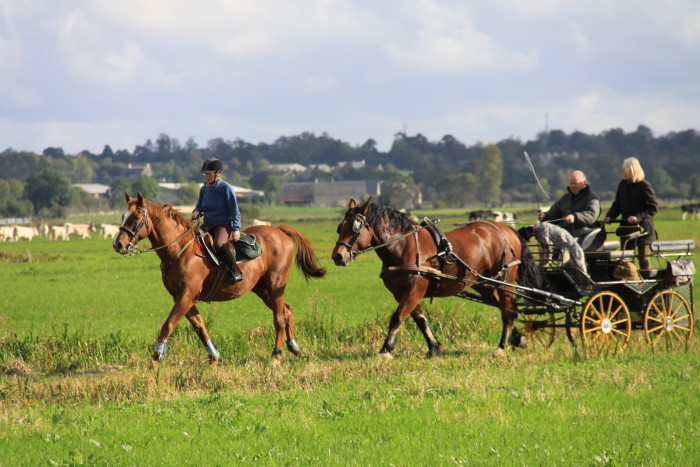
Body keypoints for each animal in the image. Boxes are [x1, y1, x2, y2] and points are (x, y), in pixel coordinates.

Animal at [113, 193, 326, 366]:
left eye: (136, 217)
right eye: (123, 216)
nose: (118, 244)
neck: (179, 250)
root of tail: (279, 231)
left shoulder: (185, 297)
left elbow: (168, 325)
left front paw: (155, 359)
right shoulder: (183, 298)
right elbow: (199, 326)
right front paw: (214, 356)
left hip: (275, 286)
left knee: (279, 317)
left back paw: (276, 356)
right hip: (262, 289)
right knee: (286, 310)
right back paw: (294, 347)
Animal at [330, 198, 544, 358]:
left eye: (356, 228)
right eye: (340, 227)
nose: (337, 256)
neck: (403, 245)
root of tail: (508, 231)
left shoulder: (414, 290)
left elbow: (397, 318)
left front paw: (385, 350)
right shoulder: (403, 293)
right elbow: (420, 320)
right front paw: (434, 347)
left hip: (504, 280)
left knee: (507, 309)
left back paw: (501, 346)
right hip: (484, 283)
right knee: (507, 307)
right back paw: (516, 339)